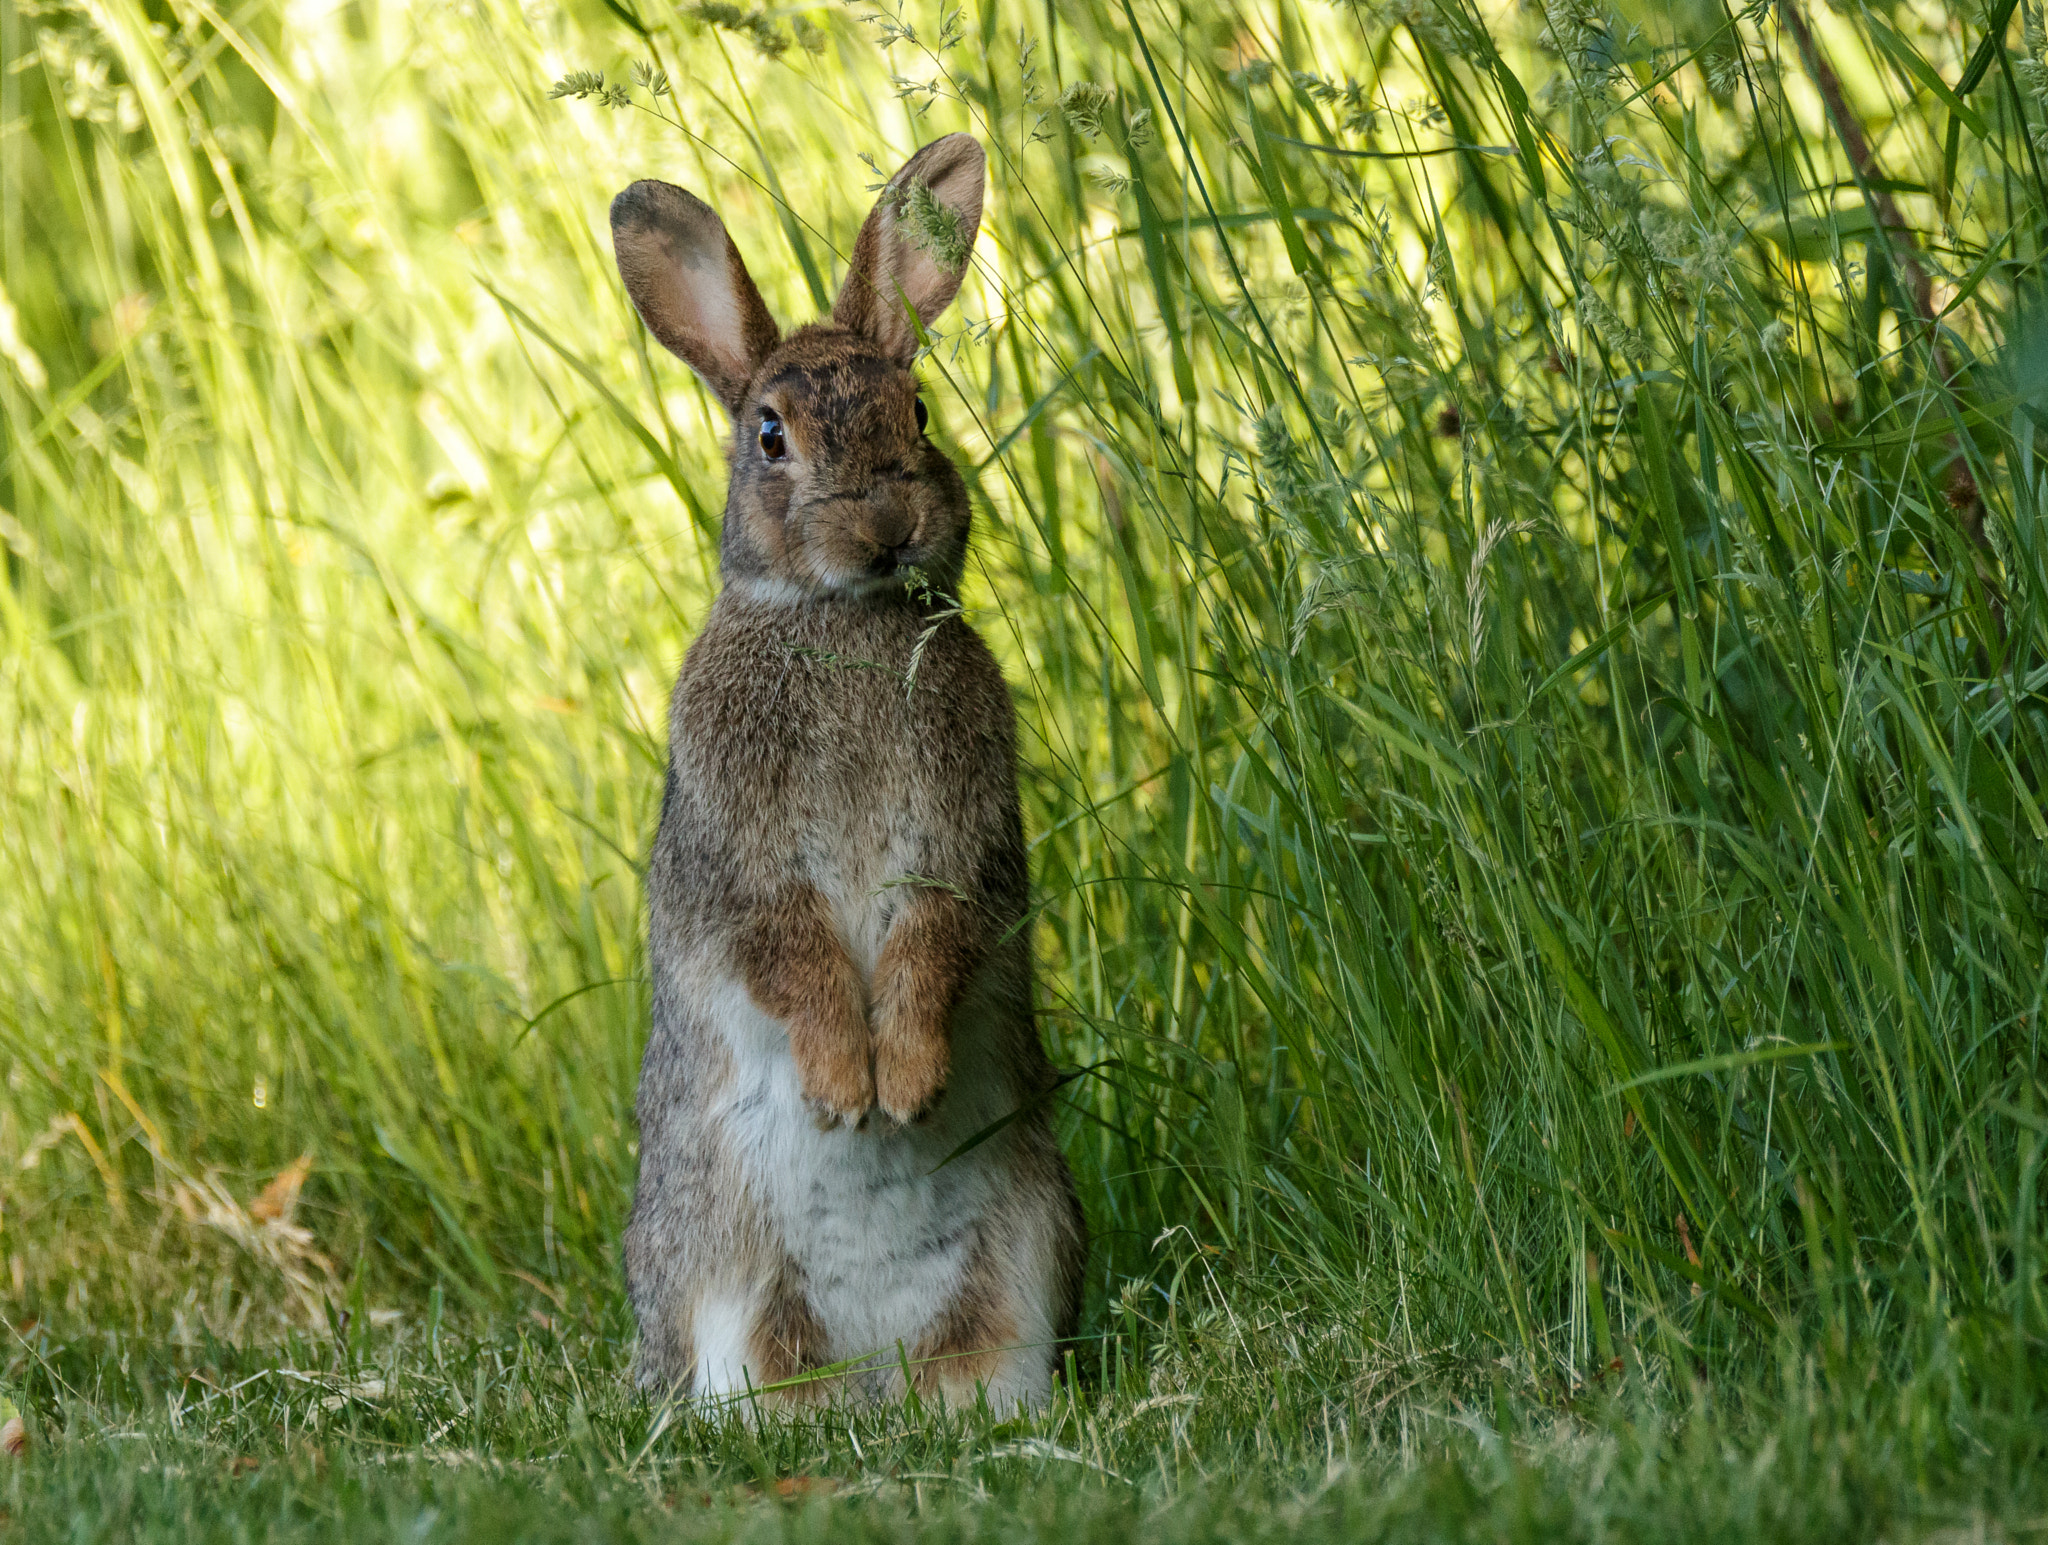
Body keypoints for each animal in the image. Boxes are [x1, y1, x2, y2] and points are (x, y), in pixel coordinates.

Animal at [609, 134, 1086, 1414]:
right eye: (771, 436)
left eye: (914, 410)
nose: (885, 526)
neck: (844, 618)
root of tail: (876, 1367)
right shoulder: (741, 857)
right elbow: (792, 953)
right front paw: (843, 1091)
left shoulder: (962, 834)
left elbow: (933, 934)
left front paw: (905, 1086)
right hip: (720, 1263)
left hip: (1025, 1240)